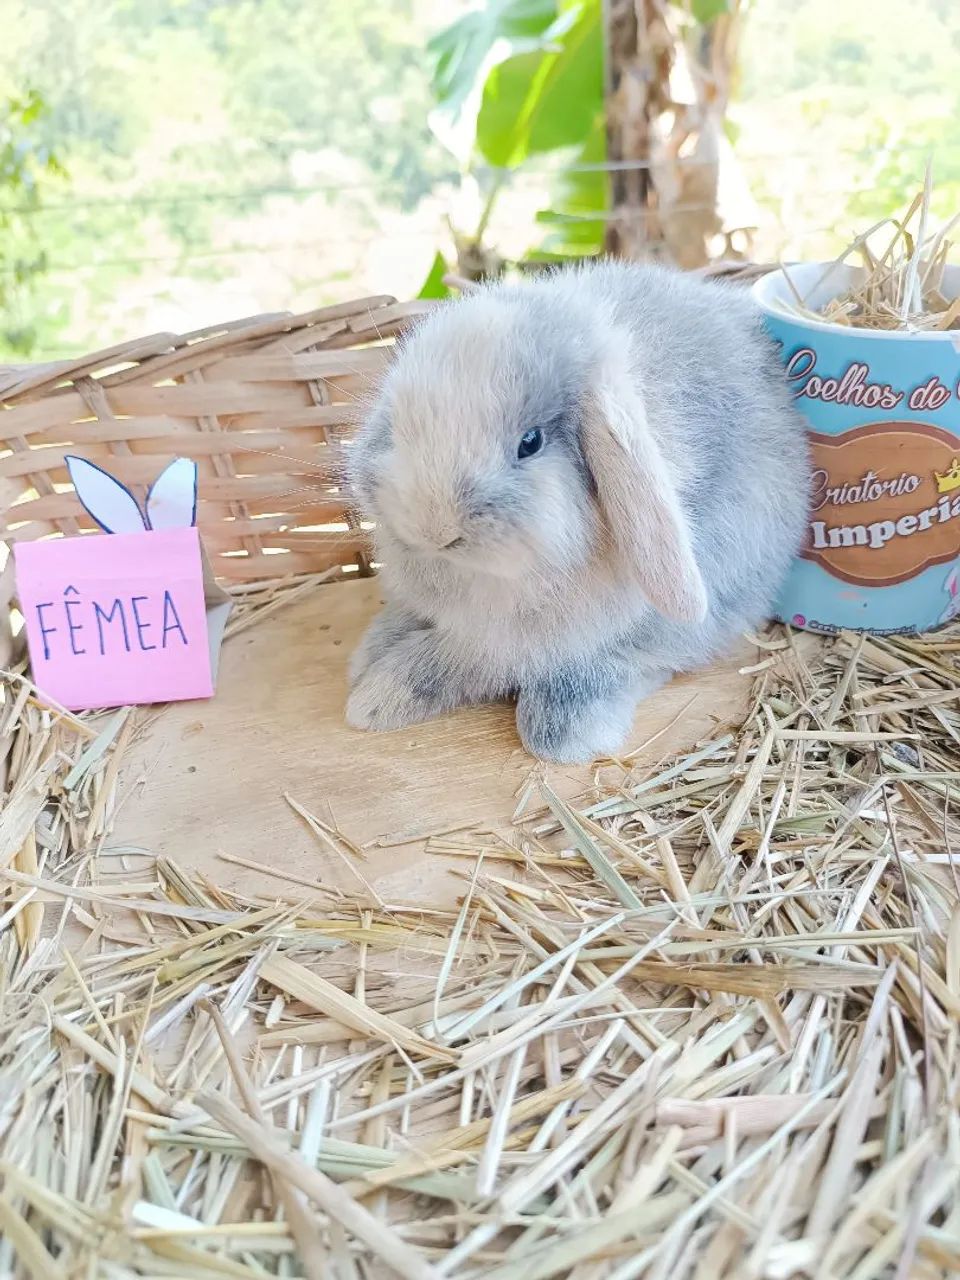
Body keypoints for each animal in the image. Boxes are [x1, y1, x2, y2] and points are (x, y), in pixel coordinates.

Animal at [346, 259, 811, 764]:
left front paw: (374, 700)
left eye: (531, 442)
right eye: (399, 424)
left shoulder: (507, 642)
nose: (434, 528)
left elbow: (451, 662)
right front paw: (368, 662)